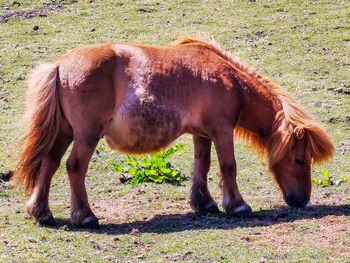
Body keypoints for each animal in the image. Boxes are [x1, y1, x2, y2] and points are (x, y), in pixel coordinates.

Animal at [12, 37, 334, 229]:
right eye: (300, 160)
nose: (301, 200)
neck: (230, 80)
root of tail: (59, 65)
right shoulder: (221, 130)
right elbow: (228, 166)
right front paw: (237, 206)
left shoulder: (202, 134)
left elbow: (202, 166)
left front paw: (204, 203)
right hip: (86, 135)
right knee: (74, 167)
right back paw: (85, 216)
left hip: (65, 132)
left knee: (49, 164)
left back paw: (42, 212)